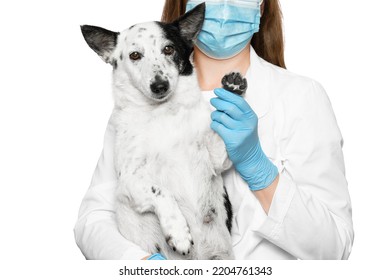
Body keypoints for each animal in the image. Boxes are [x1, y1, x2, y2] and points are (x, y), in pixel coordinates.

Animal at [81, 2, 248, 260]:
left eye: (169, 49)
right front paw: (178, 233)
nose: (160, 85)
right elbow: (161, 192)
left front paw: (232, 89)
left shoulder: (216, 159)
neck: (164, 113)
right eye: (135, 55)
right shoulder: (129, 180)